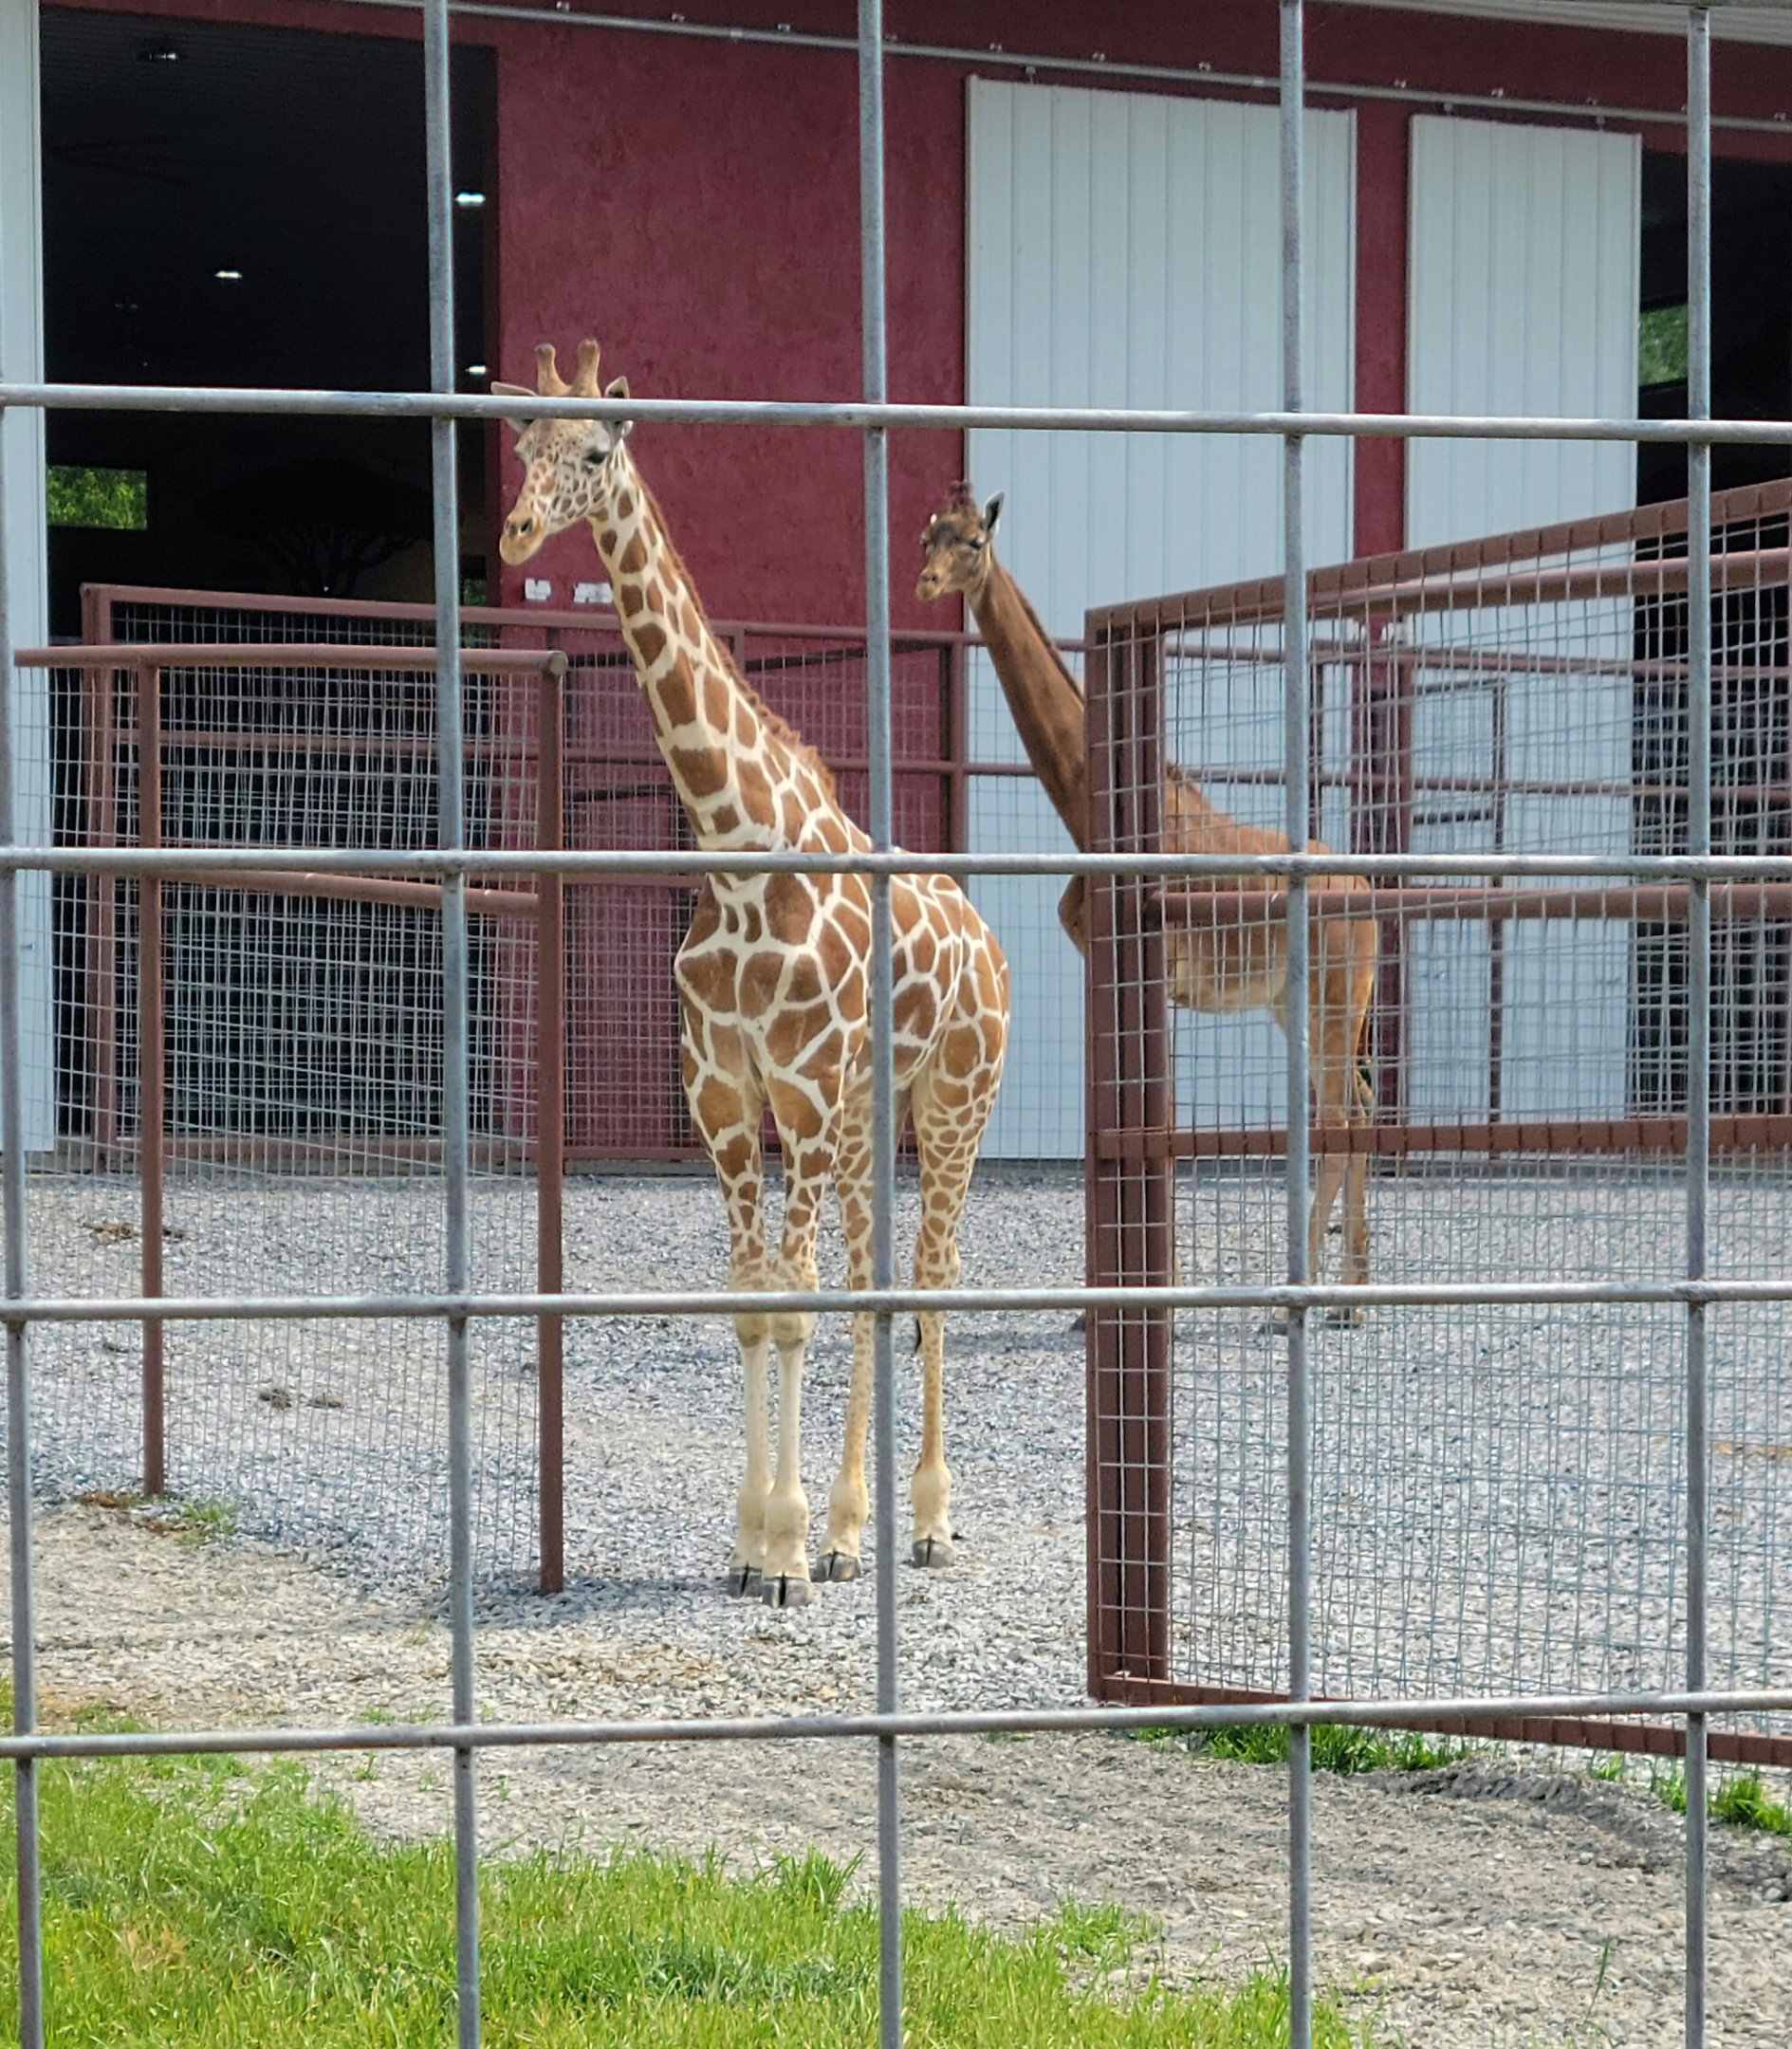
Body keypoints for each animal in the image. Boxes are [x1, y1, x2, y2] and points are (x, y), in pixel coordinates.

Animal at [496, 343, 1010, 1603]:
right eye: (521, 444)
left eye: (596, 452)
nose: (519, 533)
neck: (734, 854)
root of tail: (988, 942)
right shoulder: (724, 1093)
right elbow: (748, 1304)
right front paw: (755, 1543)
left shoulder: (805, 1091)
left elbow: (794, 1308)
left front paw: (779, 1550)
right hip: (877, 1115)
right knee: (880, 1281)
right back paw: (851, 1532)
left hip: (952, 1103)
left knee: (931, 1277)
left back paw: (926, 1524)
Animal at [917, 482, 1375, 1311]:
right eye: (924, 536)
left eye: (973, 541)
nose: (926, 583)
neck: (1090, 812)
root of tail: (1366, 892)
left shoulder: (1155, 977)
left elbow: (1155, 1118)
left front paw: (1160, 1289)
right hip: (1298, 1004)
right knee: (1355, 1103)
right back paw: (1353, 1289)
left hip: (1332, 998)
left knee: (1338, 1114)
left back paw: (1314, 1293)